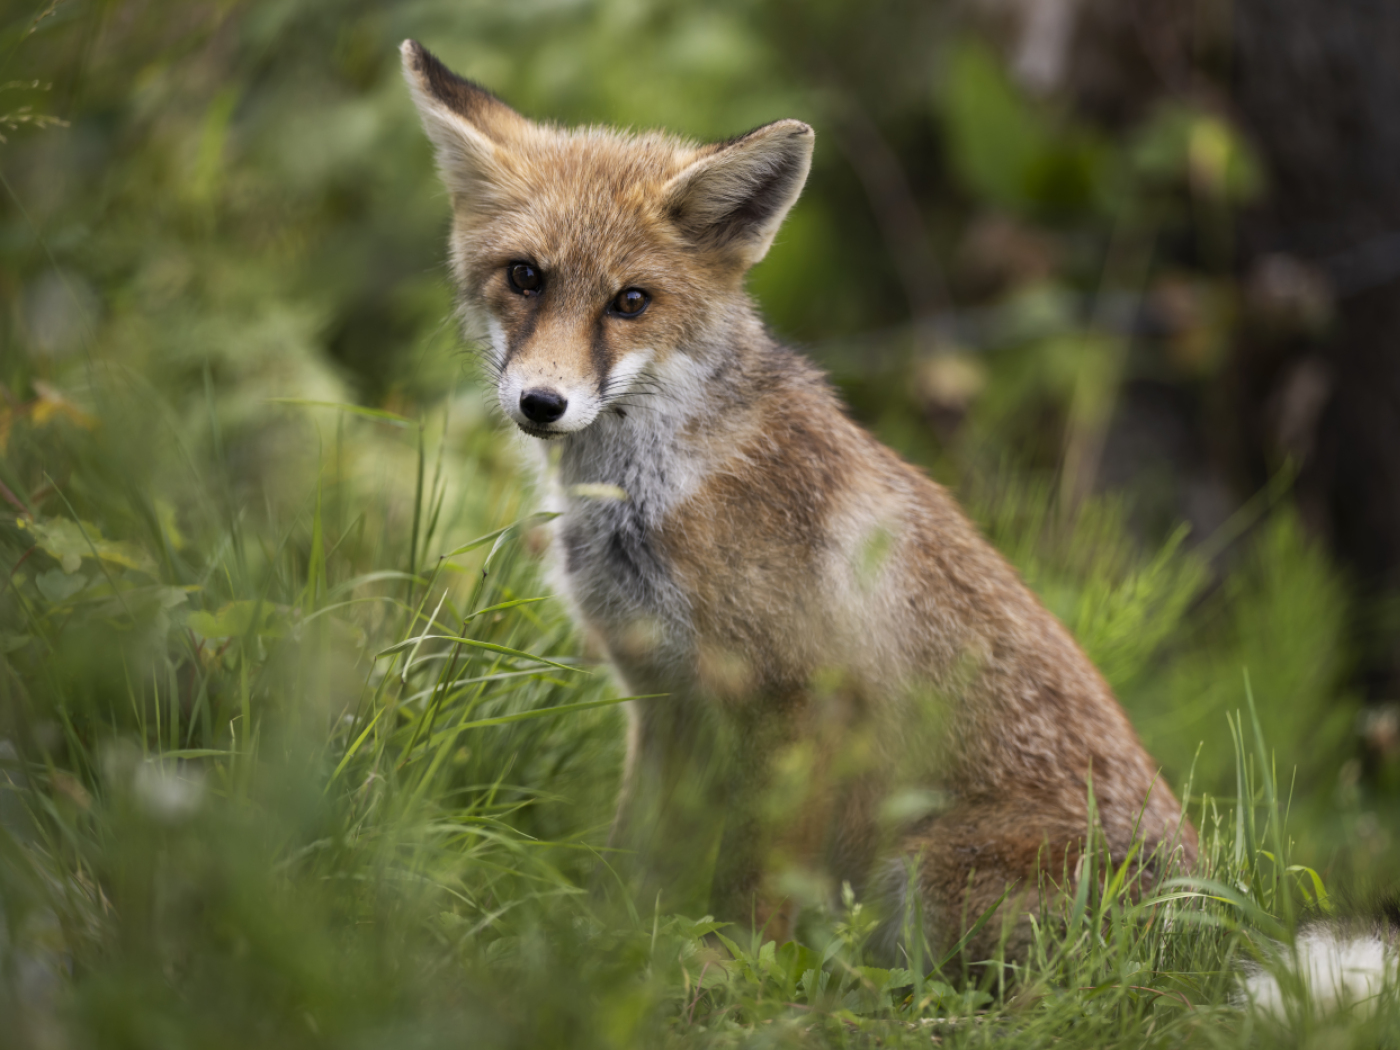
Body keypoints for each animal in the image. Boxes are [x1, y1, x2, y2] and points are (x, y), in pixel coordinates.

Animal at [401, 39, 1197, 962]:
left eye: (630, 301)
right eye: (524, 278)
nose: (541, 404)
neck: (656, 496)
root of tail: (1213, 916)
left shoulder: (797, 697)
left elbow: (758, 875)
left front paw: (737, 966)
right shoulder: (661, 693)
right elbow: (634, 854)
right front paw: (603, 945)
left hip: (921, 873)